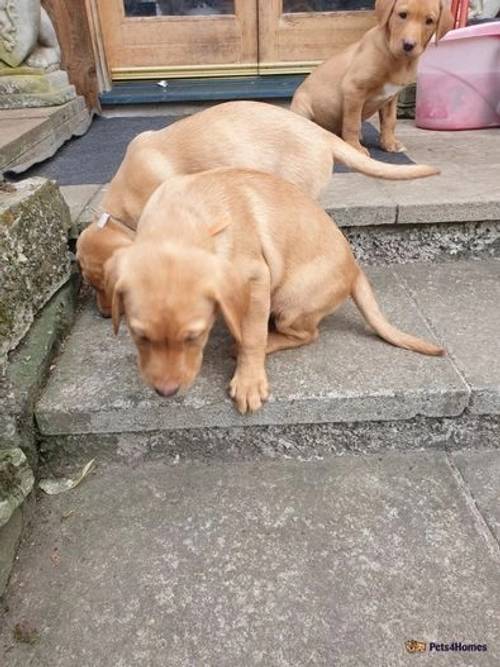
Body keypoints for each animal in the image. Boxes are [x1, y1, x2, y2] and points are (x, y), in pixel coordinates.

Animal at [103, 167, 444, 412]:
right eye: (139, 337)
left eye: (194, 337)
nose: (166, 393)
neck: (182, 219)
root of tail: (354, 268)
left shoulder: (256, 279)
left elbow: (253, 335)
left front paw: (249, 381)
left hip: (290, 303)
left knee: (306, 334)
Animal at [292, 0, 456, 154]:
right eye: (402, 15)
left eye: (429, 21)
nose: (408, 45)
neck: (398, 60)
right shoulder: (354, 89)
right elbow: (352, 123)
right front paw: (354, 148)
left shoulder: (391, 97)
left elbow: (390, 122)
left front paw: (390, 143)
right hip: (302, 106)